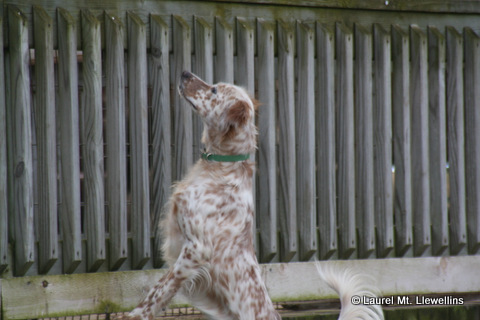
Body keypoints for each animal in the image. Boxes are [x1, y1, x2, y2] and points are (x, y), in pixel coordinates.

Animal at [123, 72, 382, 320]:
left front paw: (136, 315)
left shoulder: (196, 249)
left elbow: (159, 290)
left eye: (214, 90)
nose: (185, 73)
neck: (221, 166)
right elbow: (162, 289)